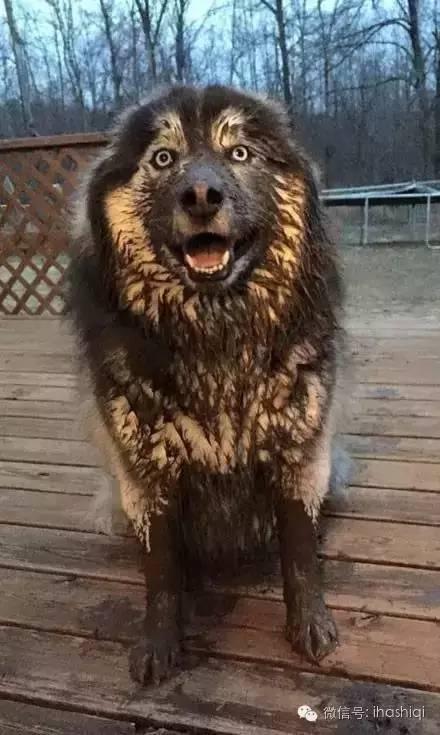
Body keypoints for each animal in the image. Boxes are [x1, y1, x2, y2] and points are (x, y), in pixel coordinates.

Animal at [68, 83, 344, 688]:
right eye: (162, 158)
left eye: (239, 153)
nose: (200, 195)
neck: (216, 333)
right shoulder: (147, 470)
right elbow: (161, 570)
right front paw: (160, 642)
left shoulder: (297, 449)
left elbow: (299, 553)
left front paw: (310, 626)